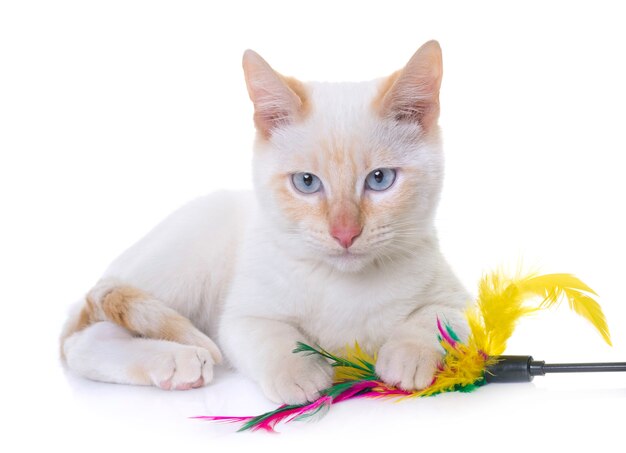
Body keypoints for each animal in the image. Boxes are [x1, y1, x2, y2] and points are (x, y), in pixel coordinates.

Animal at [61, 40, 468, 404]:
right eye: (307, 183)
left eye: (380, 179)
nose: (345, 233)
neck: (346, 285)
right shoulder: (243, 316)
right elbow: (270, 336)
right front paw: (299, 373)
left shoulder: (459, 301)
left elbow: (437, 318)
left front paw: (407, 355)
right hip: (183, 268)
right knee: (83, 340)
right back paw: (176, 362)